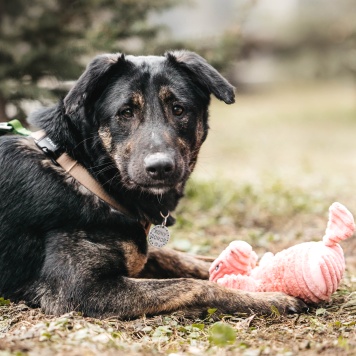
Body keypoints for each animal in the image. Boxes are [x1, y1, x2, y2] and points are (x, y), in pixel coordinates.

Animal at [0, 49, 306, 318]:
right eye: (125, 112)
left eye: (179, 109)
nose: (160, 168)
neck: (87, 171)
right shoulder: (80, 290)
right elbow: (194, 286)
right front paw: (271, 299)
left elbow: (181, 258)